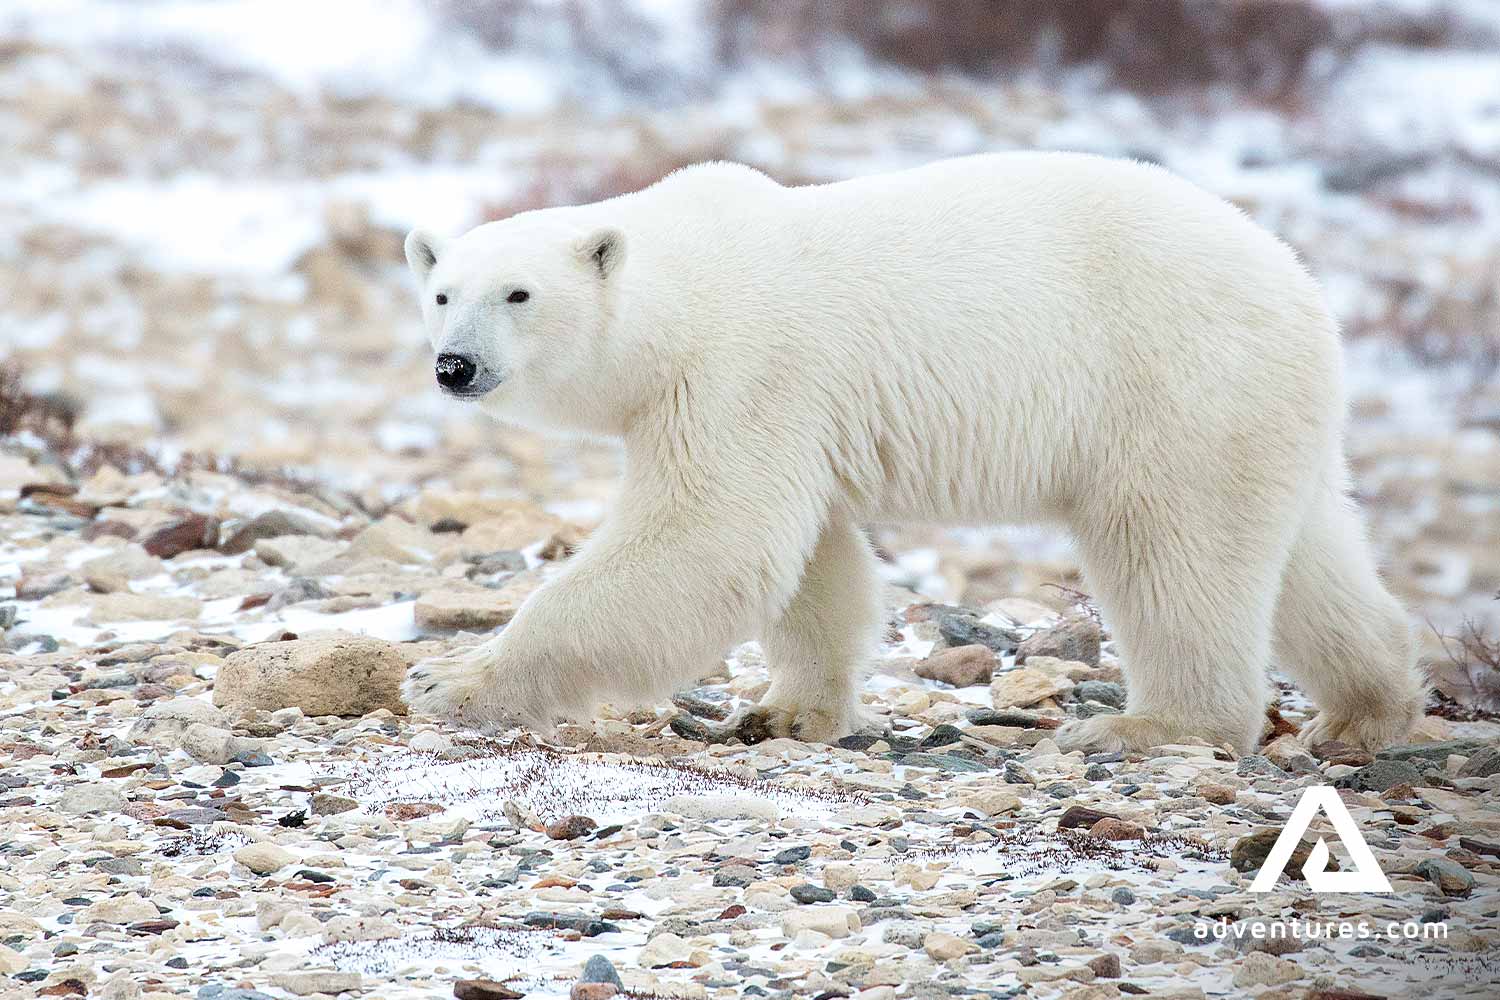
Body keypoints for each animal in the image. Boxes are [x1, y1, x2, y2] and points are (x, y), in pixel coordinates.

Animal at [400, 152, 1424, 754]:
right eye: (444, 293)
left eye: (520, 294)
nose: (454, 365)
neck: (687, 288)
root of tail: (1298, 280)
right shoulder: (793, 411)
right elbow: (812, 564)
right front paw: (786, 711)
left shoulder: (742, 370)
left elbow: (709, 539)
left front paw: (449, 679)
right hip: (1259, 407)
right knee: (1308, 555)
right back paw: (1366, 713)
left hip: (1176, 381)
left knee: (1174, 551)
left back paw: (1153, 726)